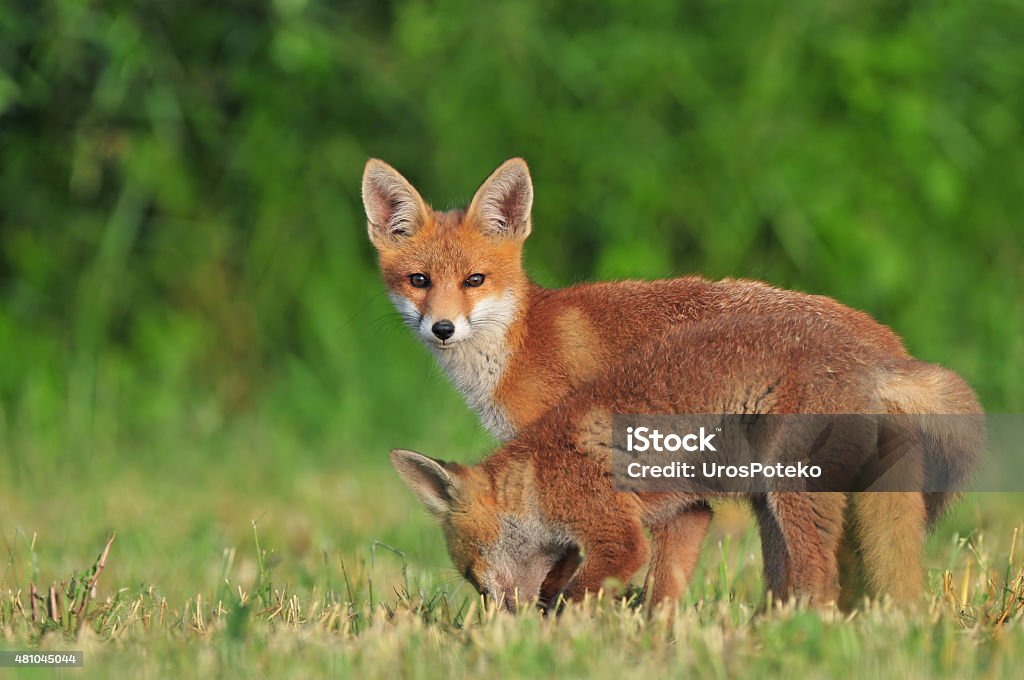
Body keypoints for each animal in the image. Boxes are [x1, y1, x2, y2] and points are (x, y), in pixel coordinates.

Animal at [366, 157, 983, 606]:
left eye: (475, 280)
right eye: (419, 281)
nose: (443, 328)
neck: (522, 343)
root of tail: (886, 351)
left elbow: (580, 560)